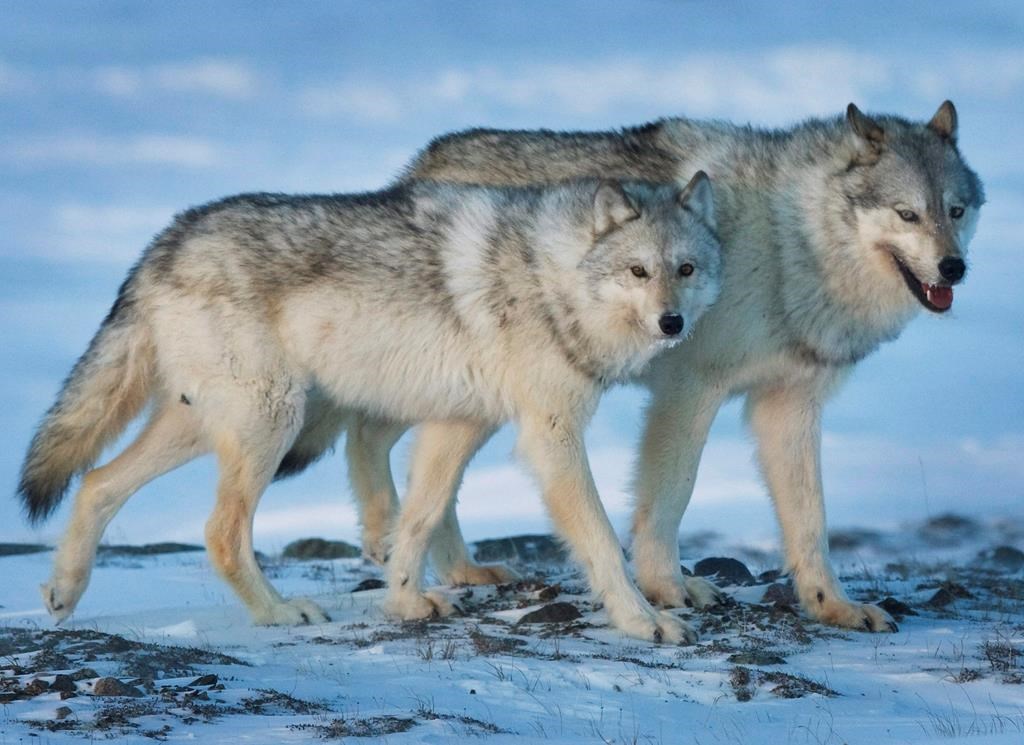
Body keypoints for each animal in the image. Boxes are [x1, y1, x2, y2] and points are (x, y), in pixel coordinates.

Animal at [16, 172, 720, 638]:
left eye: (685, 269)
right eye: (637, 272)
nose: (673, 323)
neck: (551, 277)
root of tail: (163, 241)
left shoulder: (457, 426)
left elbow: (417, 519)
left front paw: (406, 603)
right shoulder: (550, 436)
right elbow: (600, 538)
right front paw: (644, 620)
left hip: (212, 423)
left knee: (97, 483)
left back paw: (63, 593)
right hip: (271, 421)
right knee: (218, 530)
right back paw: (277, 612)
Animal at [303, 101, 983, 630]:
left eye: (955, 210)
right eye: (907, 213)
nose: (953, 269)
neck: (790, 242)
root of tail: (419, 166)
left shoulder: (789, 404)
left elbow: (810, 519)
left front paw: (831, 606)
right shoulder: (690, 389)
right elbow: (671, 494)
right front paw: (666, 591)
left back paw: (456, 567)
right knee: (367, 433)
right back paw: (385, 539)